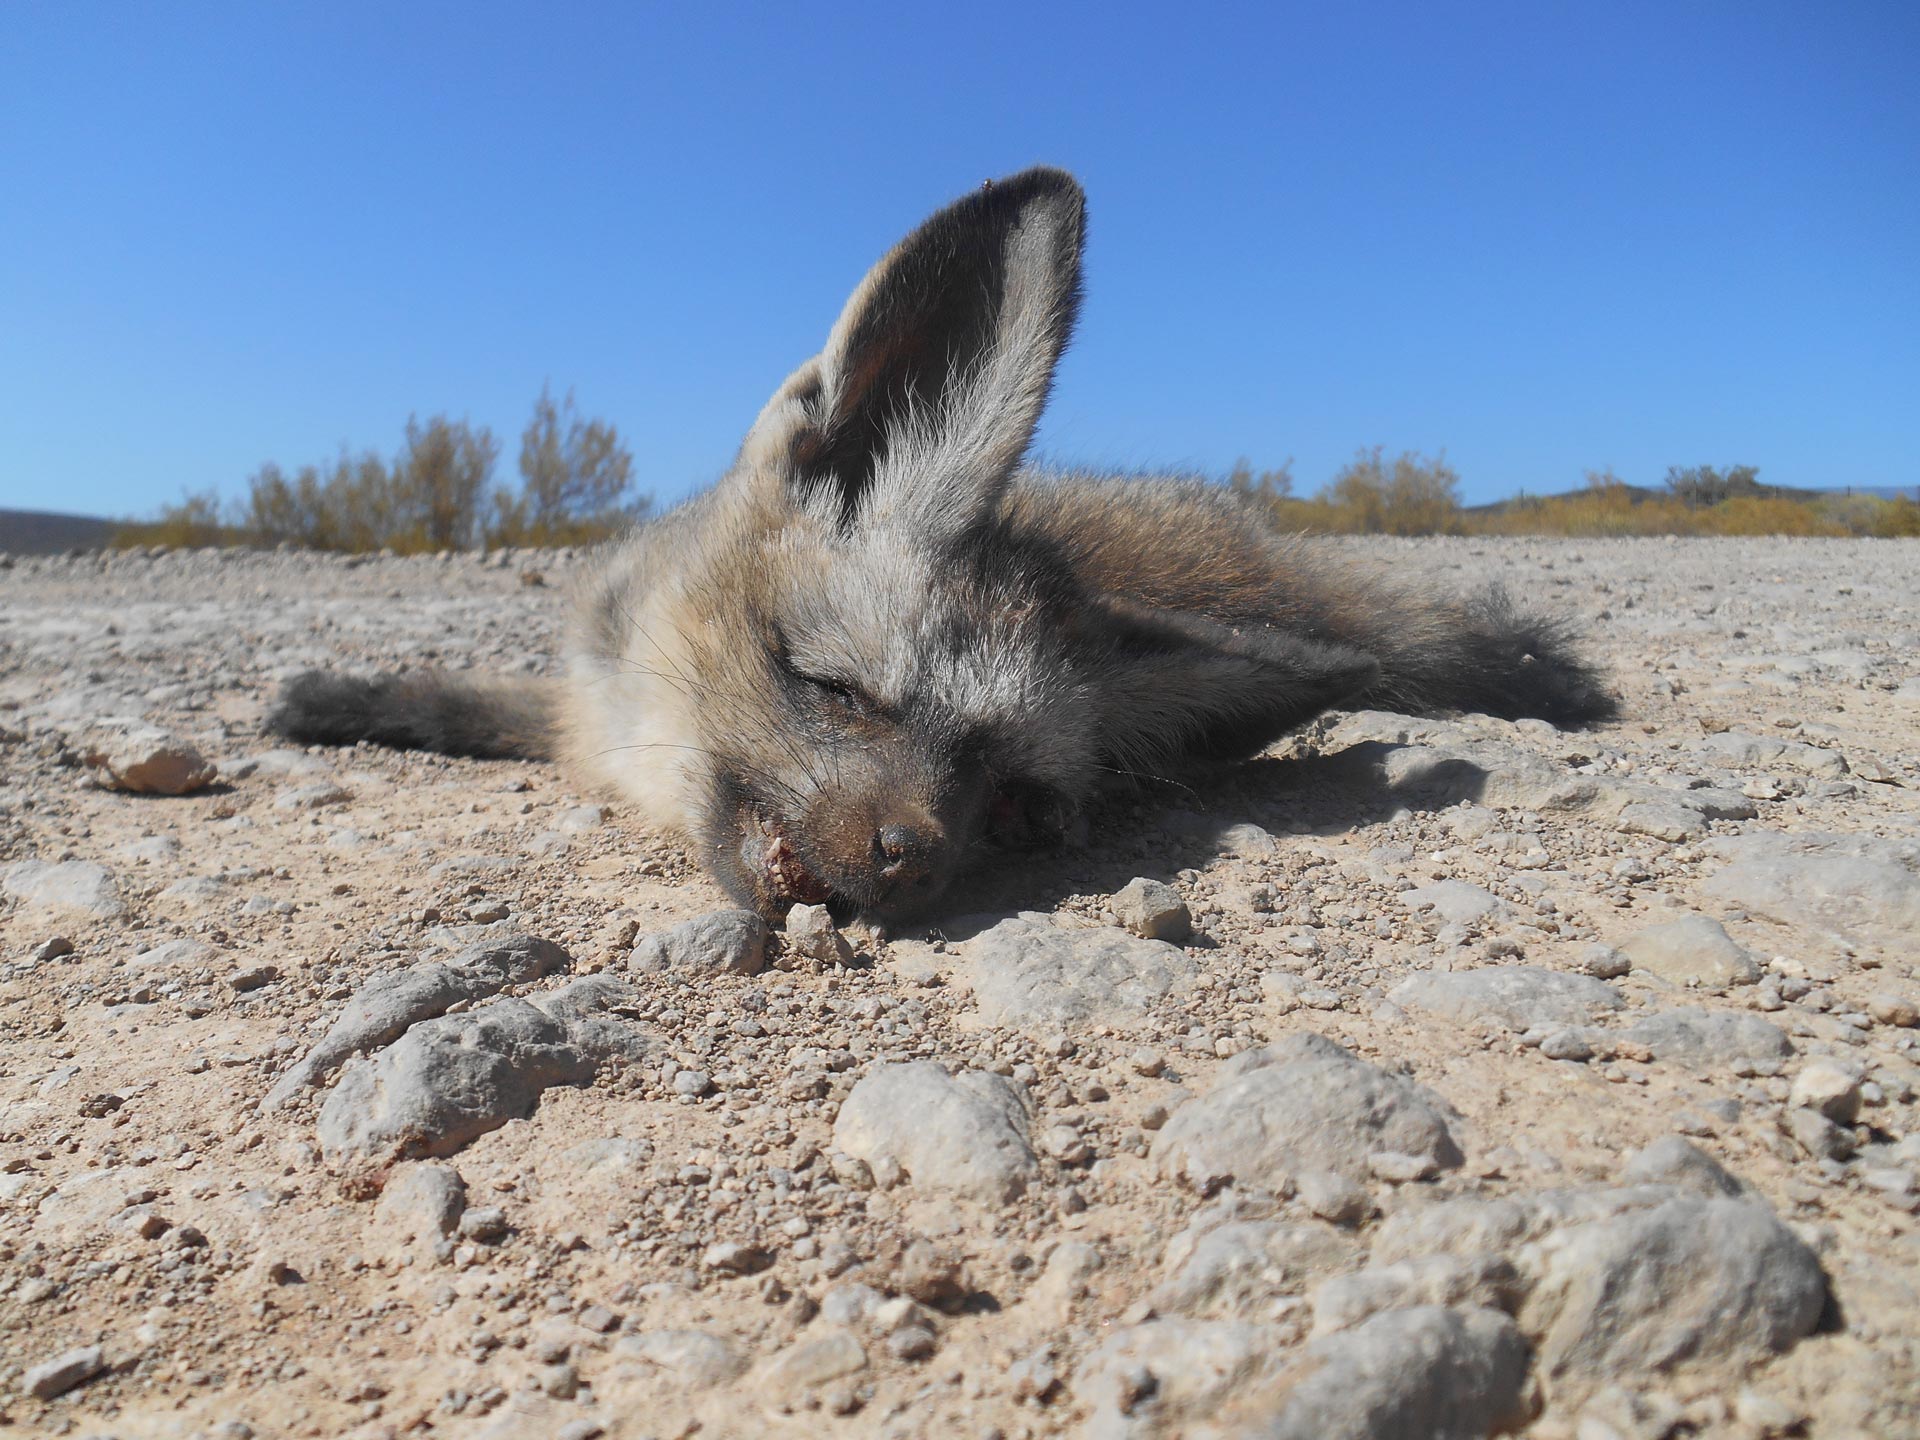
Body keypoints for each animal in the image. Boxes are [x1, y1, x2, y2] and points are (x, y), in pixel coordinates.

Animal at [270, 166, 1620, 925]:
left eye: (1013, 805)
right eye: (835, 689)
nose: (911, 860)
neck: (627, 748)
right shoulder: (578, 701)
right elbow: (478, 699)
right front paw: (348, 697)